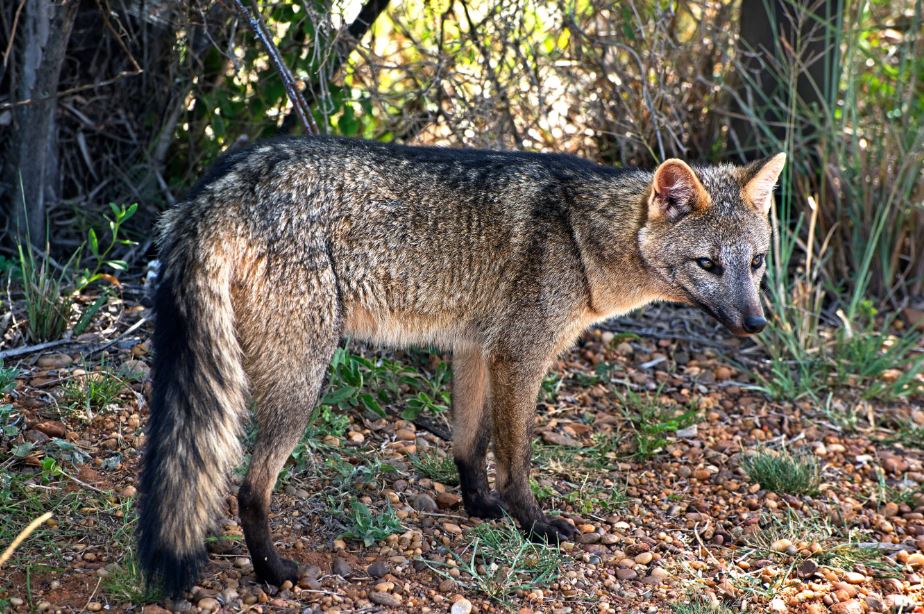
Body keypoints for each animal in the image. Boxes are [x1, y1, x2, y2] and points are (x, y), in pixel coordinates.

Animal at [137, 135, 785, 596]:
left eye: (755, 263)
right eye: (708, 264)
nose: (757, 324)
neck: (582, 239)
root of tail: (218, 187)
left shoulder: (473, 349)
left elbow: (469, 443)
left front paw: (479, 506)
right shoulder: (519, 358)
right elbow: (515, 457)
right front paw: (532, 524)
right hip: (303, 380)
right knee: (249, 489)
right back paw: (272, 571)